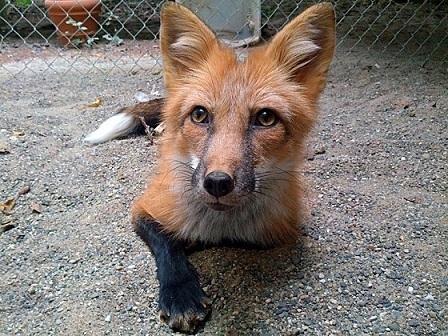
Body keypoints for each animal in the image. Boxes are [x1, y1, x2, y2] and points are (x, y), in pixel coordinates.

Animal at [86, 1, 334, 334]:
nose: (217, 182)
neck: (222, 222)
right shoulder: (145, 207)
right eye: (199, 115)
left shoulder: (277, 231)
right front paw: (180, 293)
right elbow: (168, 245)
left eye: (266, 118)